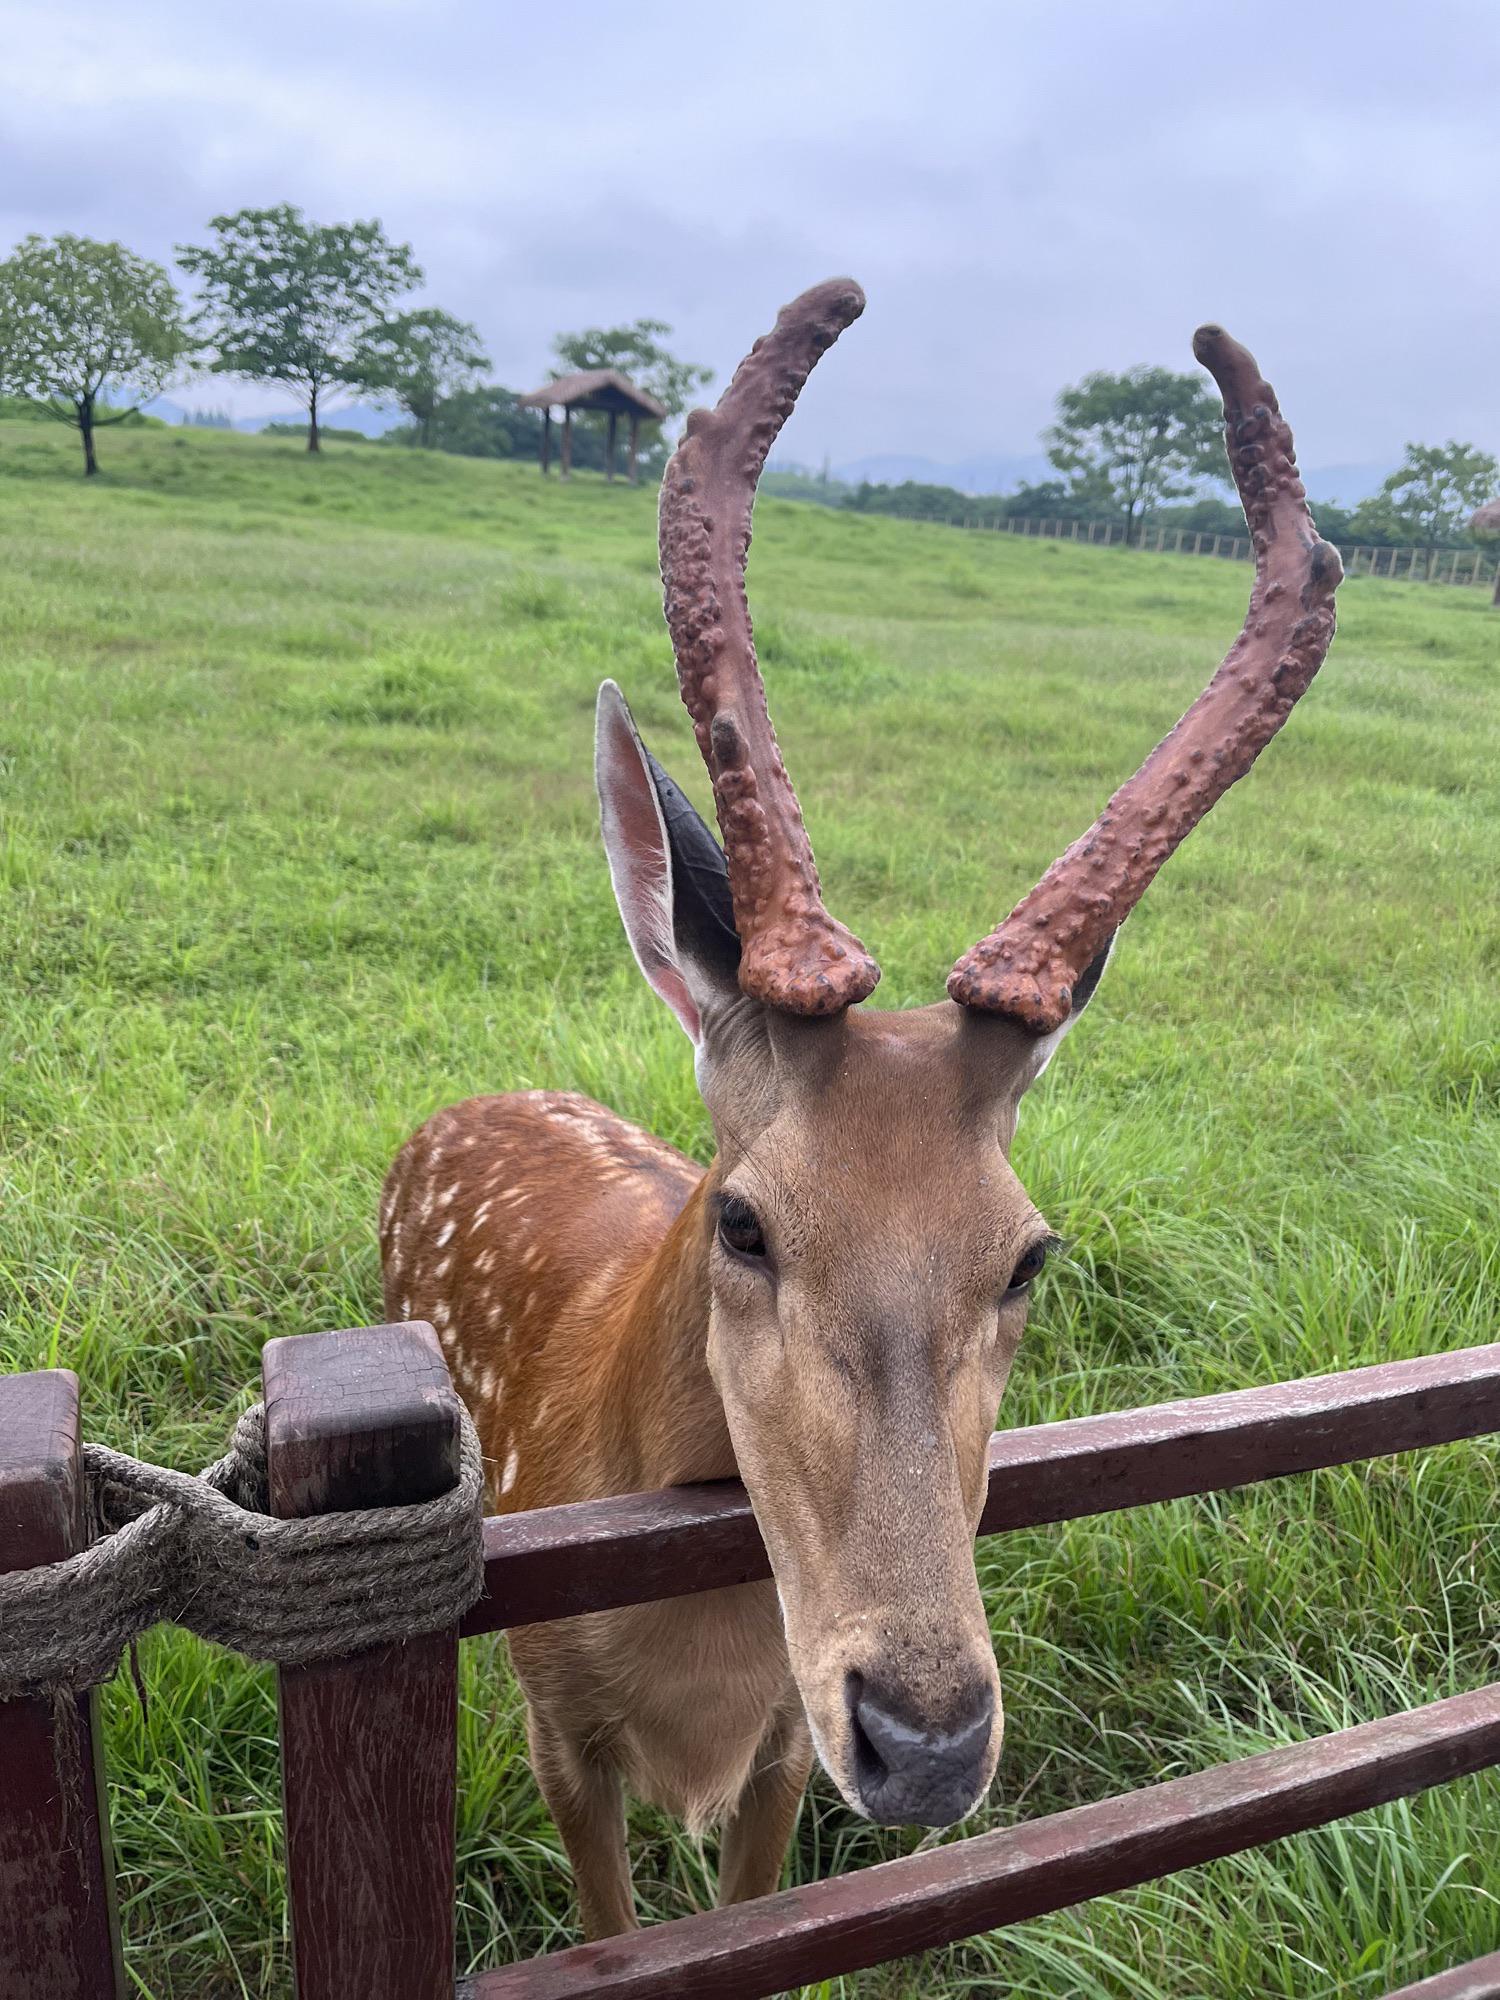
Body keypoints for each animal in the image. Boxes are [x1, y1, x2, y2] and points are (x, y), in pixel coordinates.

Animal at [382, 278, 1344, 1936]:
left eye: (1030, 1255)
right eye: (745, 1222)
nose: (927, 1737)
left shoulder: (780, 1743)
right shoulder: (556, 1720)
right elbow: (612, 1927)